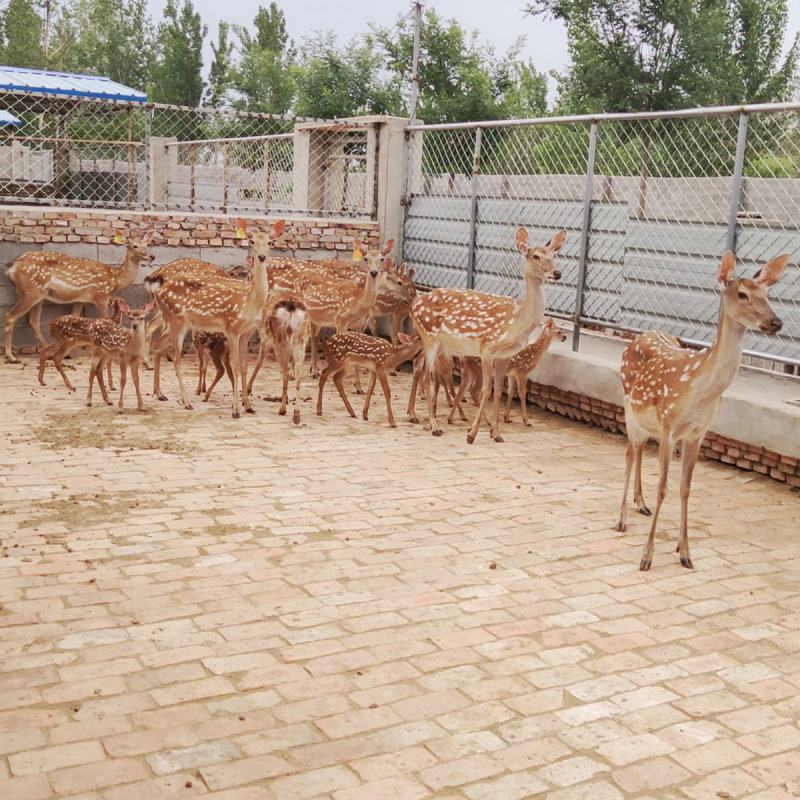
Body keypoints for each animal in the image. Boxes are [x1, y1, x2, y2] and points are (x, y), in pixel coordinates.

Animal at [4, 230, 154, 363]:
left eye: (147, 244)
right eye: (134, 245)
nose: (151, 256)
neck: (115, 278)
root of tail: (13, 268)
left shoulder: (80, 299)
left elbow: (74, 318)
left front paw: (70, 353)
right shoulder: (100, 295)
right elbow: (105, 320)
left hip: (40, 295)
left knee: (33, 321)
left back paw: (48, 351)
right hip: (30, 291)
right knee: (11, 316)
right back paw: (11, 357)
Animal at [147, 218, 287, 418]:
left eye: (269, 242)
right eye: (251, 241)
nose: (261, 257)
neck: (250, 301)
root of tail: (158, 289)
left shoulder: (246, 332)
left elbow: (244, 366)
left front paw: (248, 406)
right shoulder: (232, 326)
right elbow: (235, 366)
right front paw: (236, 409)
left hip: (177, 320)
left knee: (158, 345)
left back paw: (160, 394)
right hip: (176, 318)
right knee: (175, 357)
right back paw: (186, 402)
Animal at [411, 227, 566, 443]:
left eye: (554, 255)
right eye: (535, 256)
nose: (557, 273)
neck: (517, 322)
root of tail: (413, 304)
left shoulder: (505, 355)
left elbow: (499, 391)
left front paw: (496, 432)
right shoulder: (487, 347)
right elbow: (486, 389)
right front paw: (472, 434)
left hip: (439, 344)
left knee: (421, 369)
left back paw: (423, 418)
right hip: (429, 335)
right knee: (428, 376)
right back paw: (434, 426)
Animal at [616, 250, 789, 571]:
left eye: (768, 294)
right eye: (743, 294)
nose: (777, 322)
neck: (701, 390)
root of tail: (638, 336)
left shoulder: (698, 434)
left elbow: (685, 488)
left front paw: (684, 552)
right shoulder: (670, 427)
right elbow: (664, 488)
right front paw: (647, 556)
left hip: (647, 422)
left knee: (640, 449)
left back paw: (640, 504)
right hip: (628, 405)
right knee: (630, 454)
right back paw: (621, 519)